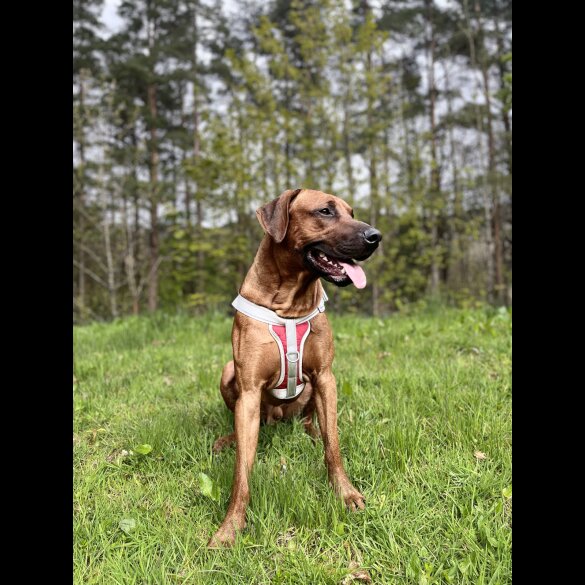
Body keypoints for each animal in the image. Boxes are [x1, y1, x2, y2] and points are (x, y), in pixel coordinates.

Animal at [208, 188, 380, 548]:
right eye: (326, 211)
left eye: (351, 212)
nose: (376, 236)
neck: (290, 302)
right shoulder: (248, 389)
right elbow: (241, 473)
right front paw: (230, 527)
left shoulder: (326, 377)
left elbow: (334, 447)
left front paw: (345, 494)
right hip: (228, 373)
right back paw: (230, 439)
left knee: (312, 421)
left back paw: (311, 432)